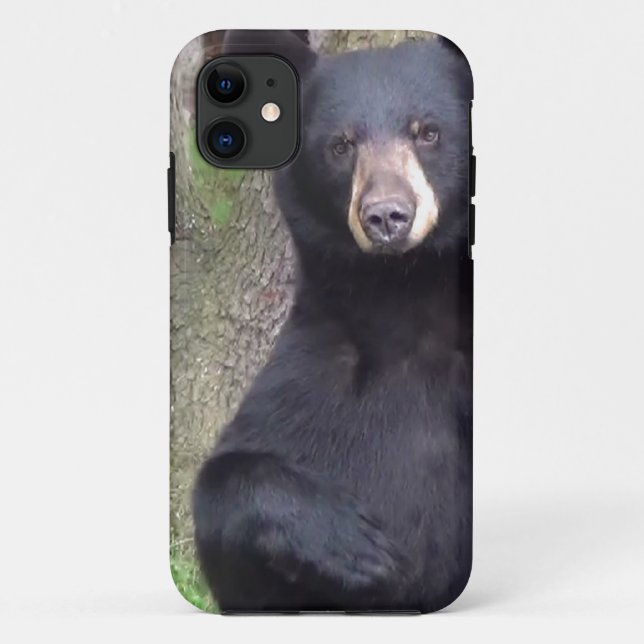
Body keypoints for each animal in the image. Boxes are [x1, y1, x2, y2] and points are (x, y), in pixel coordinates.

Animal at [193, 30, 474, 613]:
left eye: (428, 132)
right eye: (341, 145)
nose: (387, 216)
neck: (403, 296)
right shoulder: (312, 375)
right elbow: (223, 489)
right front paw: (357, 545)